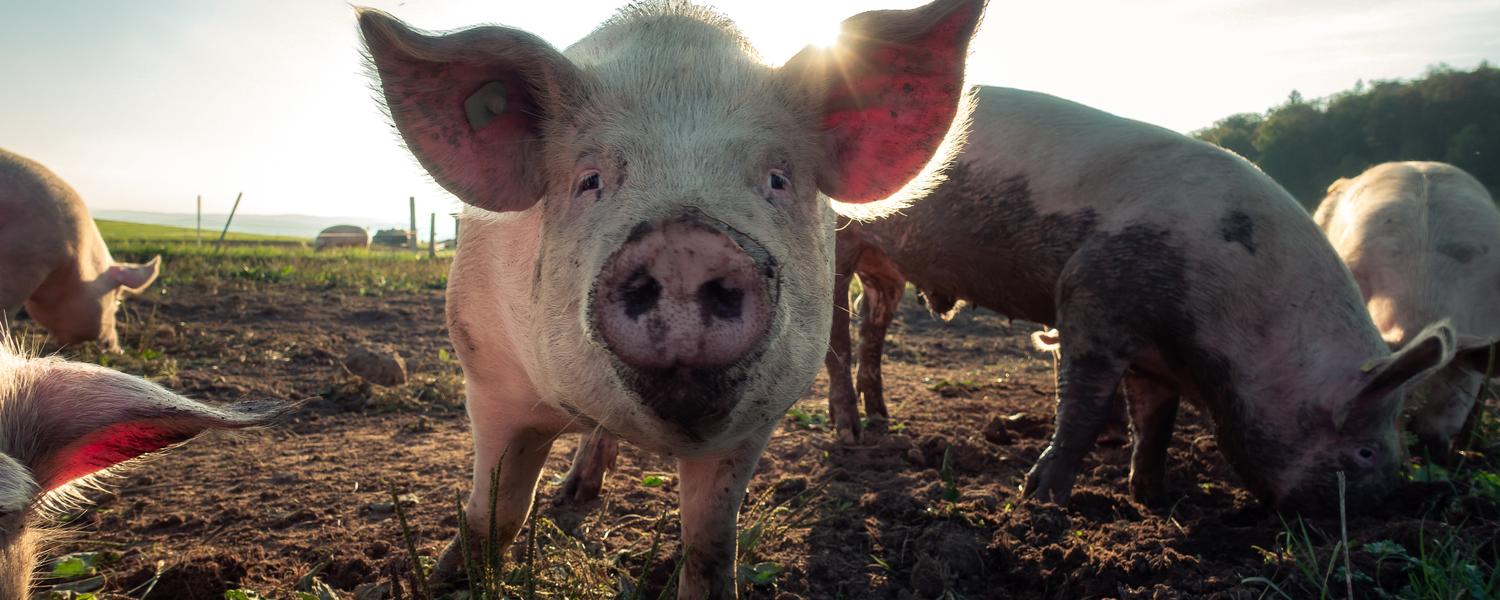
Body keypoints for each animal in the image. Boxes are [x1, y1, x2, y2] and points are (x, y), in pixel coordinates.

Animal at [356, 0, 985, 597]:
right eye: (590, 180)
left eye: (777, 178)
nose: (685, 243)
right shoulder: (488, 373)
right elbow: (496, 510)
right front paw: (445, 581)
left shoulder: (755, 420)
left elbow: (711, 541)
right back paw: (573, 495)